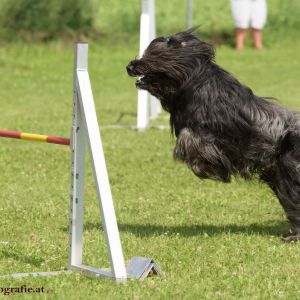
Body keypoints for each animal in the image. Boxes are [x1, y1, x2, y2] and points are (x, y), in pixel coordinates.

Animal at [126, 28, 300, 241]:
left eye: (153, 55)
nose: (129, 66)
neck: (194, 81)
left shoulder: (216, 131)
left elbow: (190, 140)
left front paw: (211, 167)